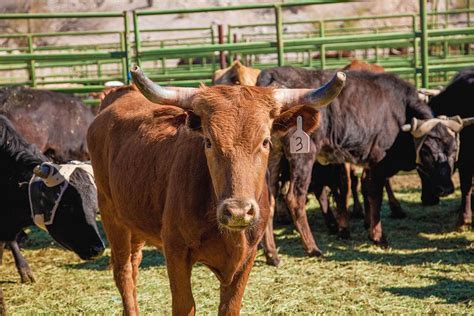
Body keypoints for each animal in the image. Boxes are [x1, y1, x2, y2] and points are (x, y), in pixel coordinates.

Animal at [87, 65, 344, 316]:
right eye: (209, 142)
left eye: (265, 141)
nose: (238, 211)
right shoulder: (176, 252)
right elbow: (185, 305)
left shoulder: (247, 258)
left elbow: (230, 307)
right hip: (111, 215)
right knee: (123, 273)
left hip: (135, 219)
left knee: (133, 264)